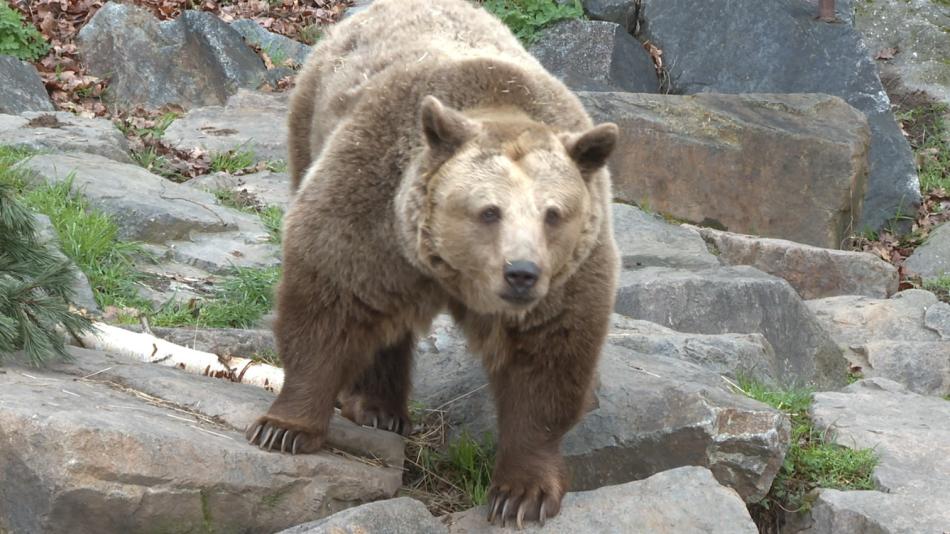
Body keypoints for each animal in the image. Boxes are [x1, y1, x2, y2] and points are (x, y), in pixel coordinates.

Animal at [245, 0, 620, 528]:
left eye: (553, 213)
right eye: (489, 211)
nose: (522, 273)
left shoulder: (567, 280)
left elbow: (546, 365)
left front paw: (521, 495)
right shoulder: (373, 213)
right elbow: (327, 303)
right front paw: (284, 428)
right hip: (310, 125)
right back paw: (378, 407)